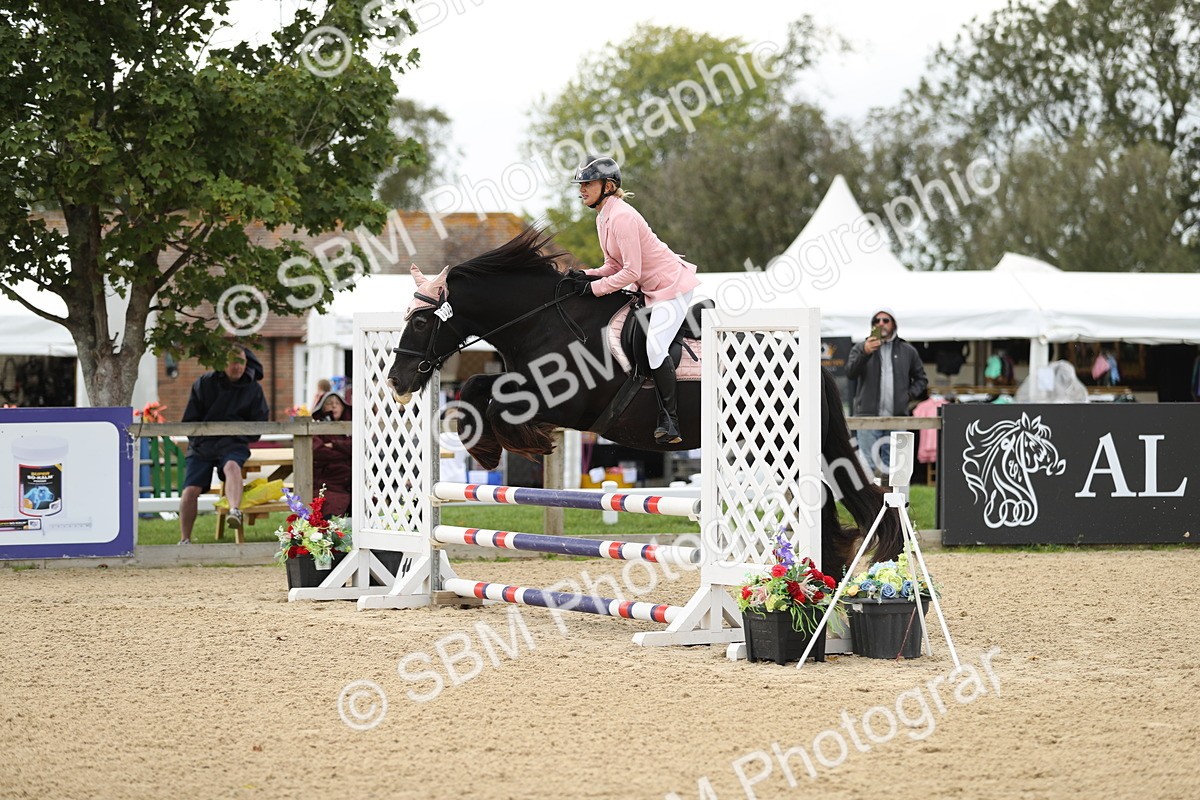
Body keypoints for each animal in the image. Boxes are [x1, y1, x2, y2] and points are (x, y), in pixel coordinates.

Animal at [386, 227, 902, 574]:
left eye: (420, 321)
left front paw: (513, 445)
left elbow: (495, 401)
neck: (541, 321)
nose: (396, 381)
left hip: (779, 443)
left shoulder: (561, 401)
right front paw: (488, 447)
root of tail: (812, 363)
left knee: (822, 501)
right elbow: (477, 390)